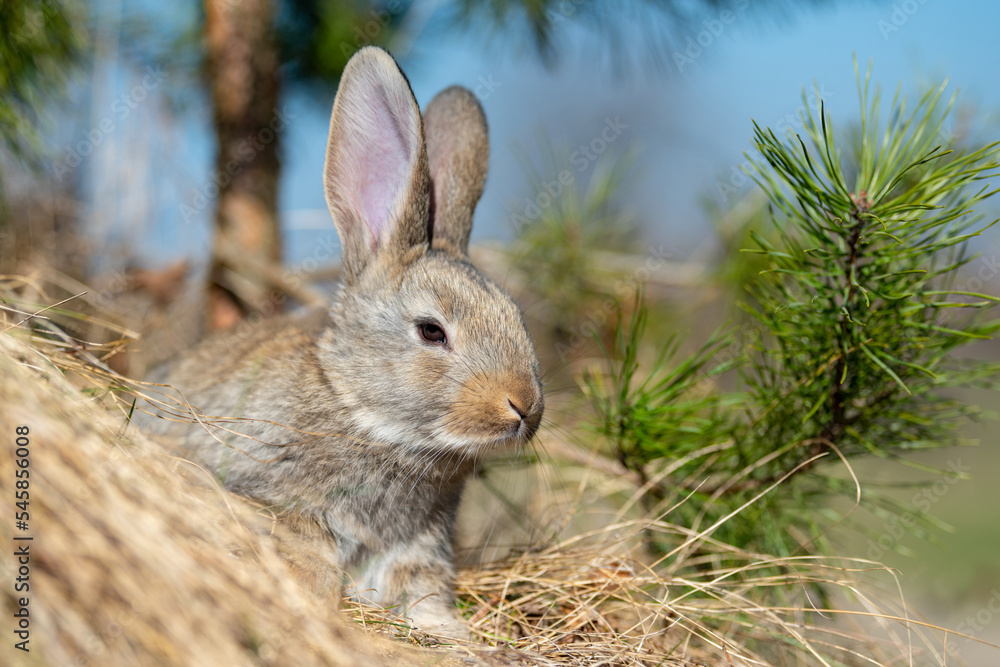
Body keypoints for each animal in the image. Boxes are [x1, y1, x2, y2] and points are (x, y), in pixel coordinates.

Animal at [145, 45, 544, 636]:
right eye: (431, 331)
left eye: (515, 316)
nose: (524, 407)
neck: (360, 411)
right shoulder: (276, 495)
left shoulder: (416, 553)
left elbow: (423, 599)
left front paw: (453, 634)